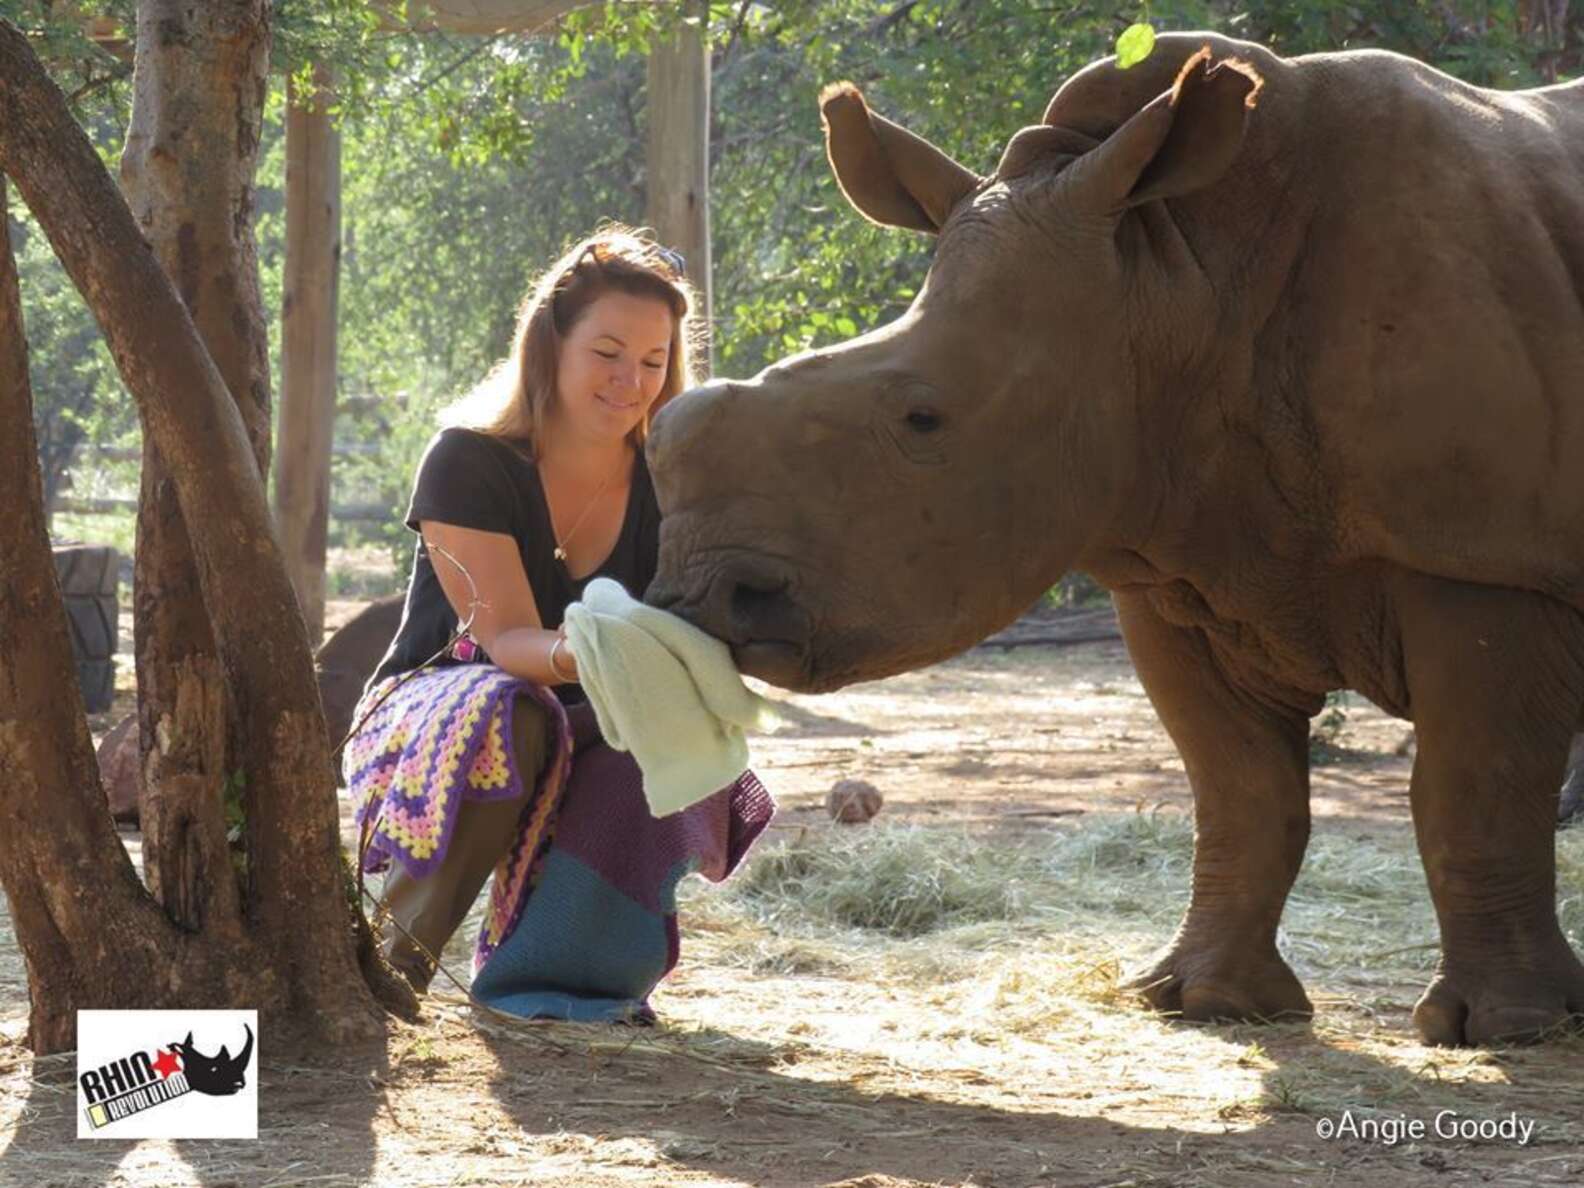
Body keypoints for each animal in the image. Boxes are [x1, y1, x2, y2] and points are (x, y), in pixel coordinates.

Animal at [649, 32, 1584, 1045]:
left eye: (922, 420)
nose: (701, 596)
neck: (1176, 279)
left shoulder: (1481, 556)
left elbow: (1475, 787)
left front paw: (1504, 1026)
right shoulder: (1178, 567)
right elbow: (1239, 789)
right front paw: (1202, 1001)